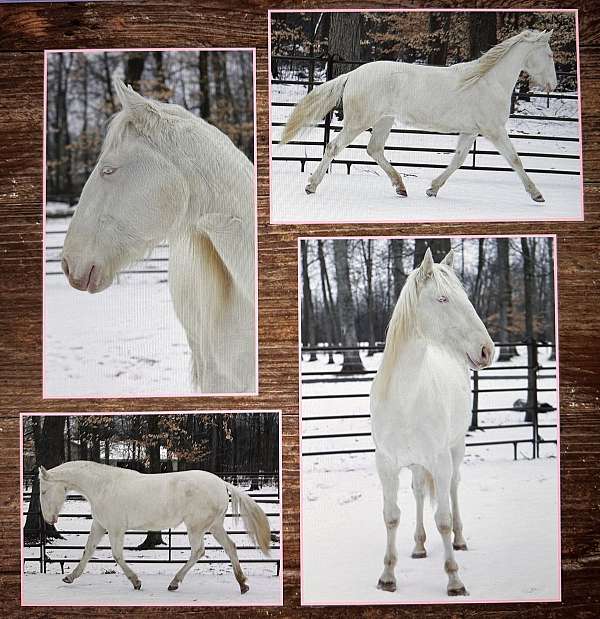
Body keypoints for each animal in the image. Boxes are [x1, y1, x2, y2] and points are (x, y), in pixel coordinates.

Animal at [38, 462, 270, 592]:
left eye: (43, 491)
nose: (49, 520)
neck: (102, 486)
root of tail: (221, 483)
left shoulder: (115, 528)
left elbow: (117, 555)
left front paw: (136, 582)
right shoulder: (99, 525)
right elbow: (87, 551)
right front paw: (69, 577)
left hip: (196, 527)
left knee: (198, 551)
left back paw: (174, 583)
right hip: (214, 526)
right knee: (230, 546)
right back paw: (243, 584)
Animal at [282, 29, 556, 203]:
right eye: (550, 55)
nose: (553, 85)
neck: (488, 81)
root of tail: (354, 74)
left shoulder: (471, 131)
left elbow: (457, 160)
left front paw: (432, 189)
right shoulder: (494, 130)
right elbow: (515, 160)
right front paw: (537, 195)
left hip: (384, 121)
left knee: (374, 149)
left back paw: (401, 188)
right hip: (359, 121)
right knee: (334, 146)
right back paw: (311, 185)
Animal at [370, 249, 496, 600]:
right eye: (442, 298)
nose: (487, 350)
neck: (405, 397)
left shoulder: (439, 461)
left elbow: (443, 519)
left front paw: (454, 580)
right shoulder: (386, 464)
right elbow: (390, 517)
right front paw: (388, 576)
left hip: (455, 450)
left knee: (452, 489)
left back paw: (460, 540)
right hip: (416, 463)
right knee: (417, 491)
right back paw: (418, 546)